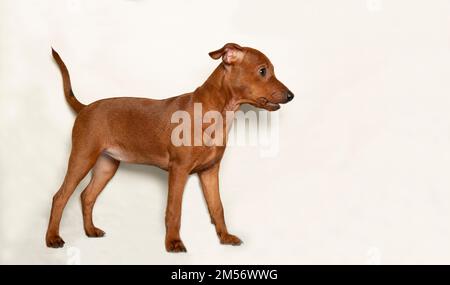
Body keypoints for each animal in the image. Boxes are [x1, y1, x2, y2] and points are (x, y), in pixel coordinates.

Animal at [47, 43, 296, 252]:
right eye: (263, 71)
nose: (291, 95)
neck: (217, 113)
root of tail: (85, 107)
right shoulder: (179, 170)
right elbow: (174, 210)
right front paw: (173, 243)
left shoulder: (210, 171)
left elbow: (217, 207)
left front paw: (225, 237)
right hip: (82, 158)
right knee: (60, 196)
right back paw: (52, 238)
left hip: (106, 165)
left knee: (86, 196)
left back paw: (90, 231)